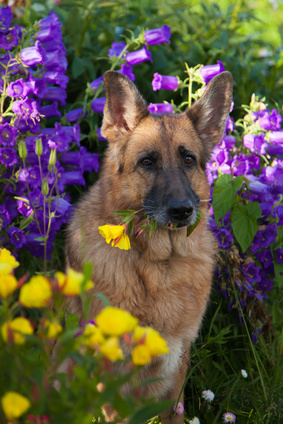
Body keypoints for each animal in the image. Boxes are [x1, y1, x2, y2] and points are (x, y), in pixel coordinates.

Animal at [66, 71, 233, 422]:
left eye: (188, 159)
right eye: (147, 162)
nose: (183, 211)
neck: (160, 264)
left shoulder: (178, 361)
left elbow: (176, 412)